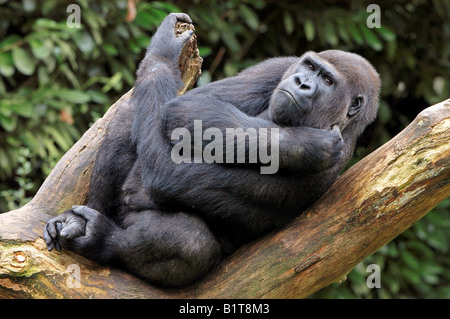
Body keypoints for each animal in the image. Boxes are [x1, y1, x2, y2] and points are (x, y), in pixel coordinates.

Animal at [44, 13, 380, 288]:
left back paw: (102, 239)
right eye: (309, 66)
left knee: (189, 240)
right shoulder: (280, 66)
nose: (302, 82)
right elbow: (191, 106)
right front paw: (164, 52)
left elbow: (169, 174)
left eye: (327, 80)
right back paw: (85, 218)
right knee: (131, 114)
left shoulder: (322, 177)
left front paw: (301, 146)